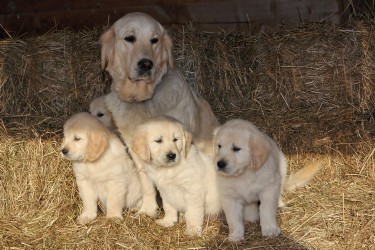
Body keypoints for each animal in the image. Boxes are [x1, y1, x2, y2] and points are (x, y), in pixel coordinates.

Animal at [101, 11, 222, 216]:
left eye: (154, 40)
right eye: (130, 38)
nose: (146, 64)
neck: (142, 100)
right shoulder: (136, 147)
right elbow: (147, 183)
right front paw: (149, 209)